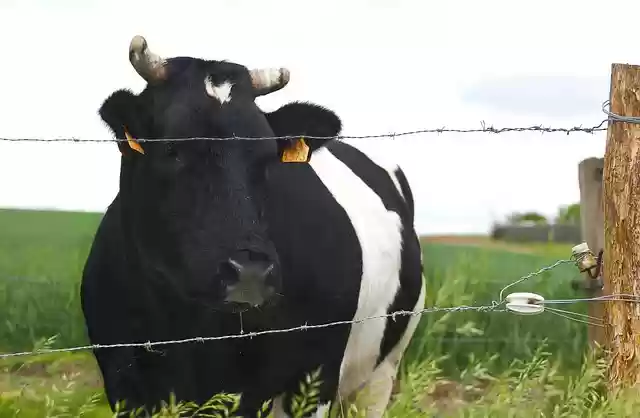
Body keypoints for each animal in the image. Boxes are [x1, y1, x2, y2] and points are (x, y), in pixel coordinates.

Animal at [80, 35, 426, 418]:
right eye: (172, 149)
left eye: (267, 157)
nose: (250, 271)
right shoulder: (125, 383)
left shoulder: (314, 377)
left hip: (383, 369)